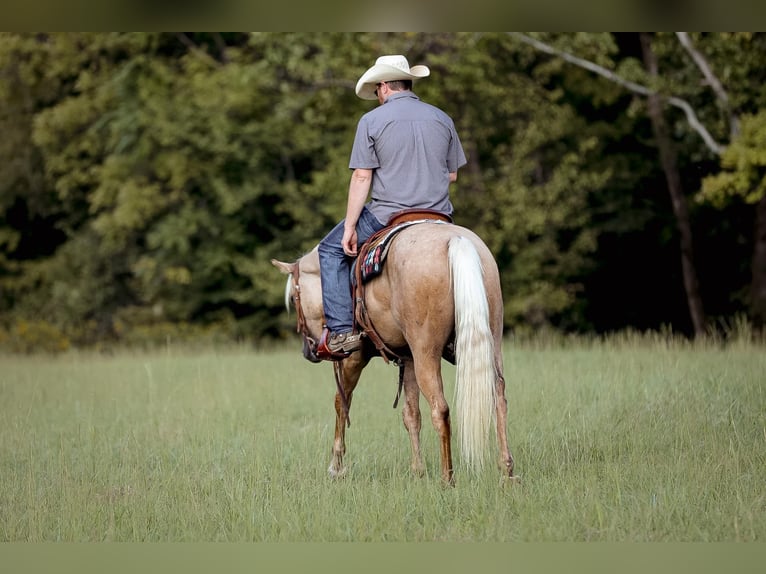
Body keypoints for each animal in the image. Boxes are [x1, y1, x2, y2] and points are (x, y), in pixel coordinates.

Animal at [272, 220, 520, 486]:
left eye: (293, 298)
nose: (309, 351)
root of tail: (457, 241)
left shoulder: (353, 358)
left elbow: (342, 402)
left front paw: (336, 468)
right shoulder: (408, 358)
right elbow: (411, 414)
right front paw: (417, 471)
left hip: (426, 354)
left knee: (440, 409)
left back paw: (447, 479)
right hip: (491, 344)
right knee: (499, 400)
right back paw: (507, 472)